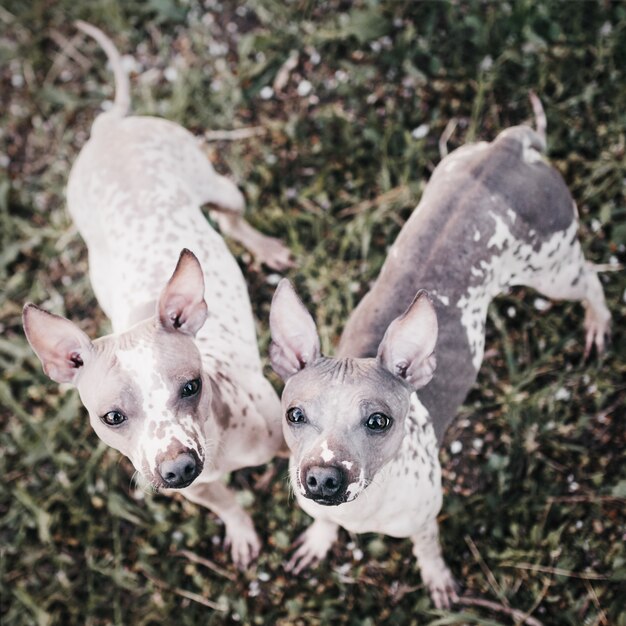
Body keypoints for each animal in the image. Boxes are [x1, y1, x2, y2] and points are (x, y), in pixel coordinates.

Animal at [22, 22, 290, 568]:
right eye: (113, 418)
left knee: (233, 217)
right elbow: (229, 504)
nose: (177, 467)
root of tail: (109, 128)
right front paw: (241, 530)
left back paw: (266, 248)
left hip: (218, 185)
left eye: (190, 387)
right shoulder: (201, 491)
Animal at [270, 101, 608, 604]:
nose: (323, 479)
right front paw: (319, 541)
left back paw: (599, 321)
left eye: (378, 421)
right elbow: (325, 525)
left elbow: (427, 550)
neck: (363, 509)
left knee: (590, 280)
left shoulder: (426, 519)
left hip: (554, 269)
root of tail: (507, 148)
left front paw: (437, 580)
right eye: (294, 415)